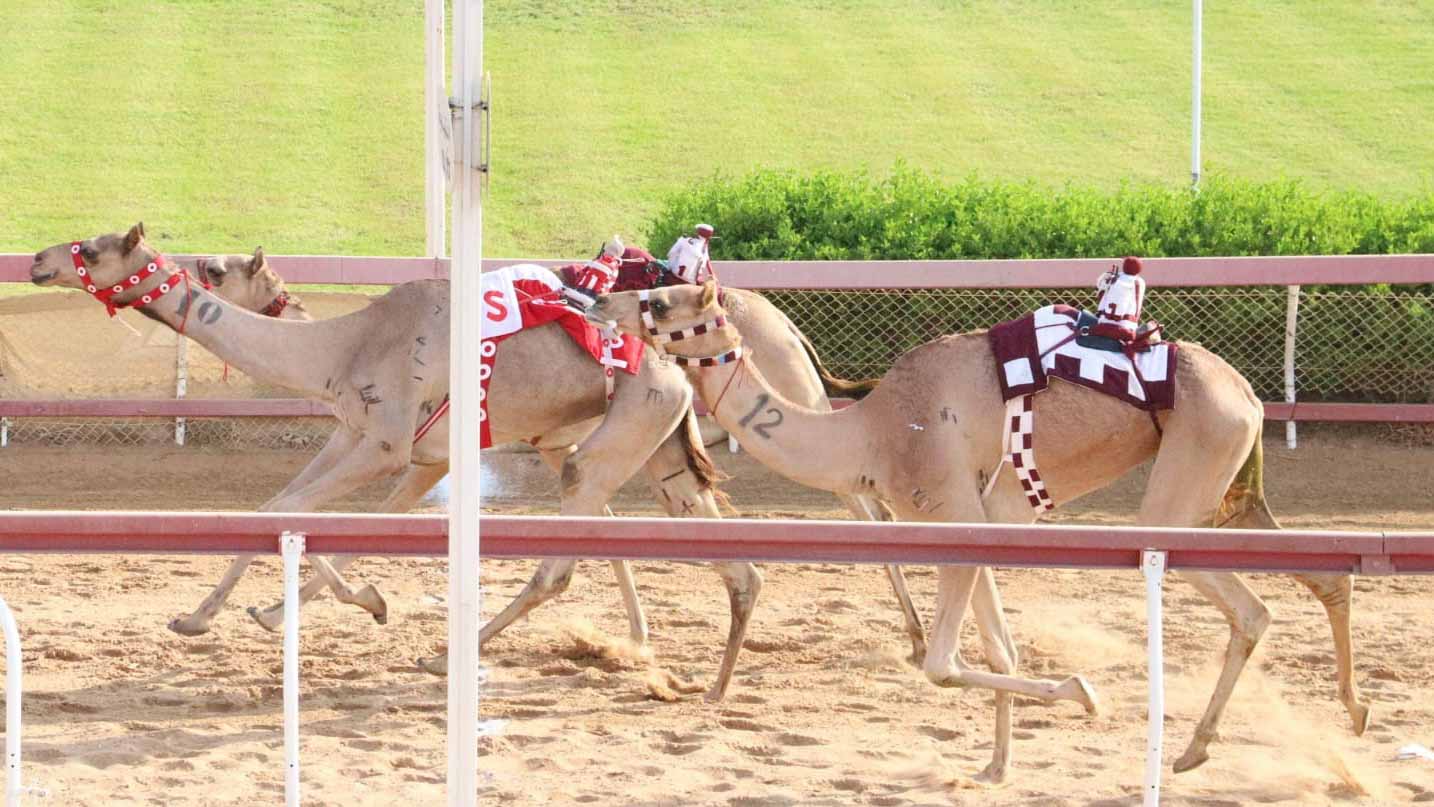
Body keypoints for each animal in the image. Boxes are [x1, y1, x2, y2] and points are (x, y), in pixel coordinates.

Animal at [30, 226, 762, 702]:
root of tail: (673, 369)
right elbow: (280, 507)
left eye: (91, 249)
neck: (340, 347)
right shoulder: (356, 434)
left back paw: (445, 657)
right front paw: (201, 618)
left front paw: (364, 602)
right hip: (653, 443)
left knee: (564, 556)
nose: (37, 260)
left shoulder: (392, 444)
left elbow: (306, 512)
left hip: (620, 426)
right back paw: (706, 682)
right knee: (726, 558)